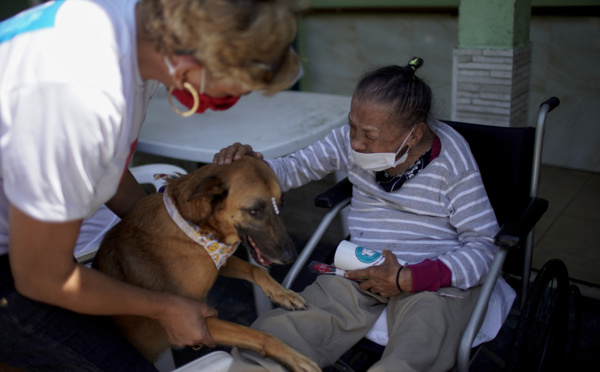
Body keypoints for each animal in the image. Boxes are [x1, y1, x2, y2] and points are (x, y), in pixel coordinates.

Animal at [92, 157, 322, 372]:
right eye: (254, 211)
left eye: (281, 204)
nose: (291, 256)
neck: (192, 225)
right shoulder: (194, 321)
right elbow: (260, 335)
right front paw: (297, 359)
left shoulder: (217, 261)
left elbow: (256, 269)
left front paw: (283, 293)